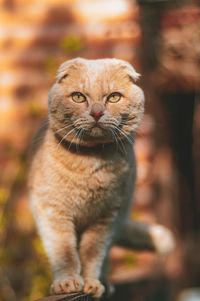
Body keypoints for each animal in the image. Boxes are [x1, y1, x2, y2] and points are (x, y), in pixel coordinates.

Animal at [28, 57, 175, 296]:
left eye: (113, 97)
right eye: (78, 97)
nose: (96, 113)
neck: (91, 164)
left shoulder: (106, 218)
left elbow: (92, 254)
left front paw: (91, 284)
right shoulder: (53, 212)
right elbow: (64, 252)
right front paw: (67, 282)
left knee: (105, 258)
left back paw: (105, 282)